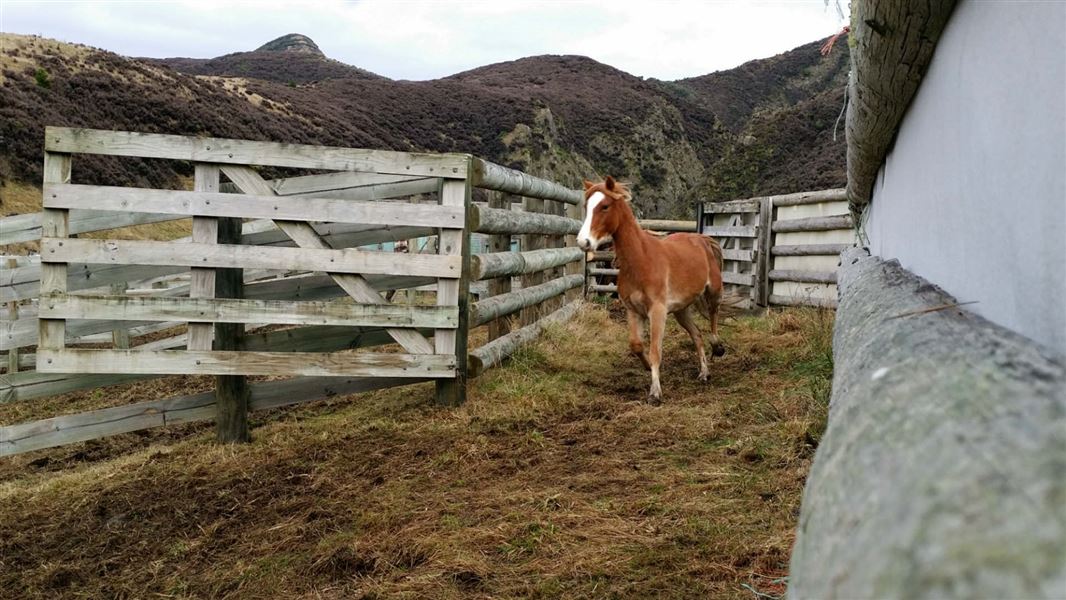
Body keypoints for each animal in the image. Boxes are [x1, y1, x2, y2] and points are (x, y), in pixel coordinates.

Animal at [584, 176, 724, 402]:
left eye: (604, 206)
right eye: (585, 206)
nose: (584, 241)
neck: (641, 260)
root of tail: (701, 239)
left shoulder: (657, 312)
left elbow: (655, 350)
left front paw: (655, 393)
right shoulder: (633, 311)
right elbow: (636, 345)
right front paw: (647, 368)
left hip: (713, 291)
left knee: (713, 315)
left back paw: (718, 347)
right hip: (681, 310)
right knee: (696, 335)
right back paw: (704, 373)